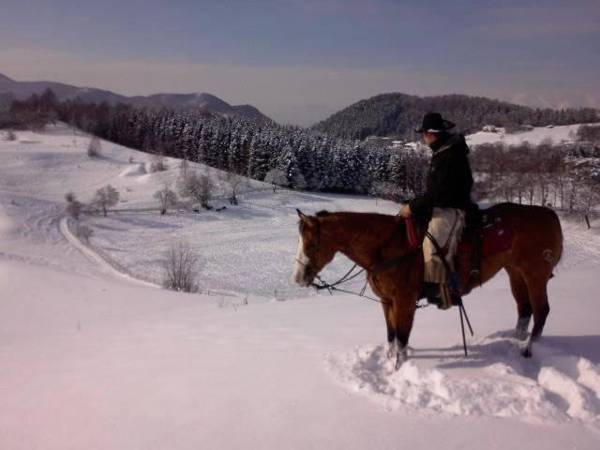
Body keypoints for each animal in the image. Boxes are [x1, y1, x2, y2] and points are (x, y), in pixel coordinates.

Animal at [292, 202, 564, 368]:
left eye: (312, 245)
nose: (298, 277)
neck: (386, 247)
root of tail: (549, 214)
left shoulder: (404, 301)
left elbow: (402, 337)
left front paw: (399, 368)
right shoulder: (386, 301)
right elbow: (391, 335)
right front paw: (389, 361)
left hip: (535, 275)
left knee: (541, 311)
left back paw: (527, 349)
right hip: (515, 272)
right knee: (524, 309)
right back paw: (516, 342)